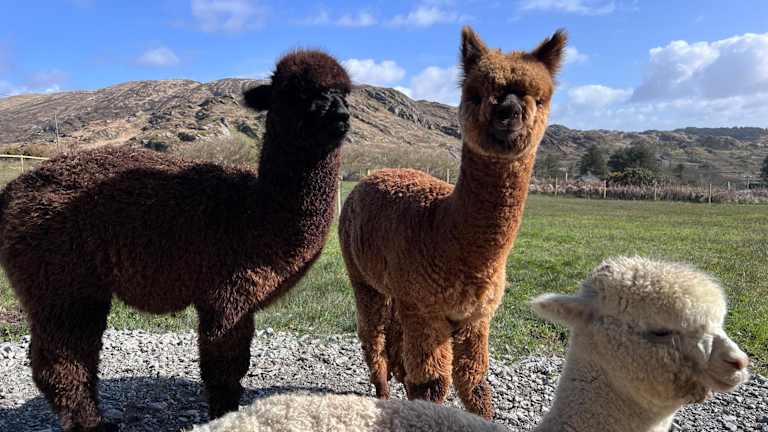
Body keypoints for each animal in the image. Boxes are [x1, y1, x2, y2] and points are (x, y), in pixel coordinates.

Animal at [0, 49, 351, 432]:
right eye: (297, 92)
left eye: (345, 92)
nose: (341, 116)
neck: (255, 213)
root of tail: (12, 192)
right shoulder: (226, 293)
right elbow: (224, 372)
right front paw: (224, 419)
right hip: (60, 279)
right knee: (61, 364)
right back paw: (93, 424)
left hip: (74, 285)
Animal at [338, 26, 567, 419]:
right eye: (476, 94)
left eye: (539, 98)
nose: (508, 112)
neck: (443, 229)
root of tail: (375, 174)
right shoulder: (427, 311)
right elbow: (432, 386)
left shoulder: (476, 317)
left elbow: (475, 386)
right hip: (363, 277)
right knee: (373, 337)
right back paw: (382, 392)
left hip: (398, 289)